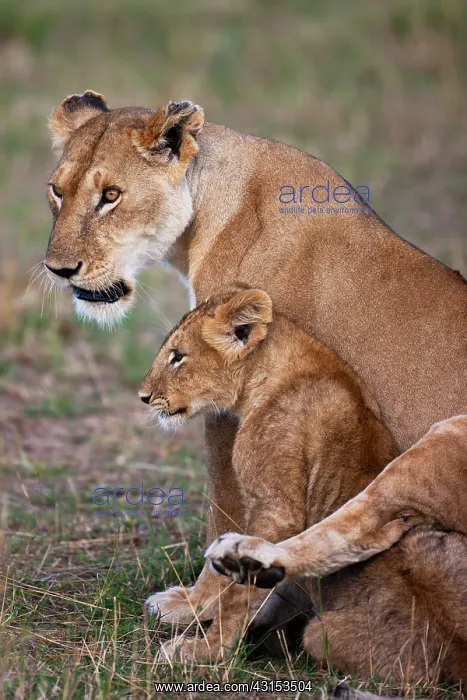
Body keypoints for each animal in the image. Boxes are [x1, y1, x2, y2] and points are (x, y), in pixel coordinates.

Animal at [44, 92, 467, 679]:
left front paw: (195, 603)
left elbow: (223, 502)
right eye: (56, 191)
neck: (207, 212)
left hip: (447, 436)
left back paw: (246, 559)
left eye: (111, 196)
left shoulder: (224, 404)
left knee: (366, 523)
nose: (58, 270)